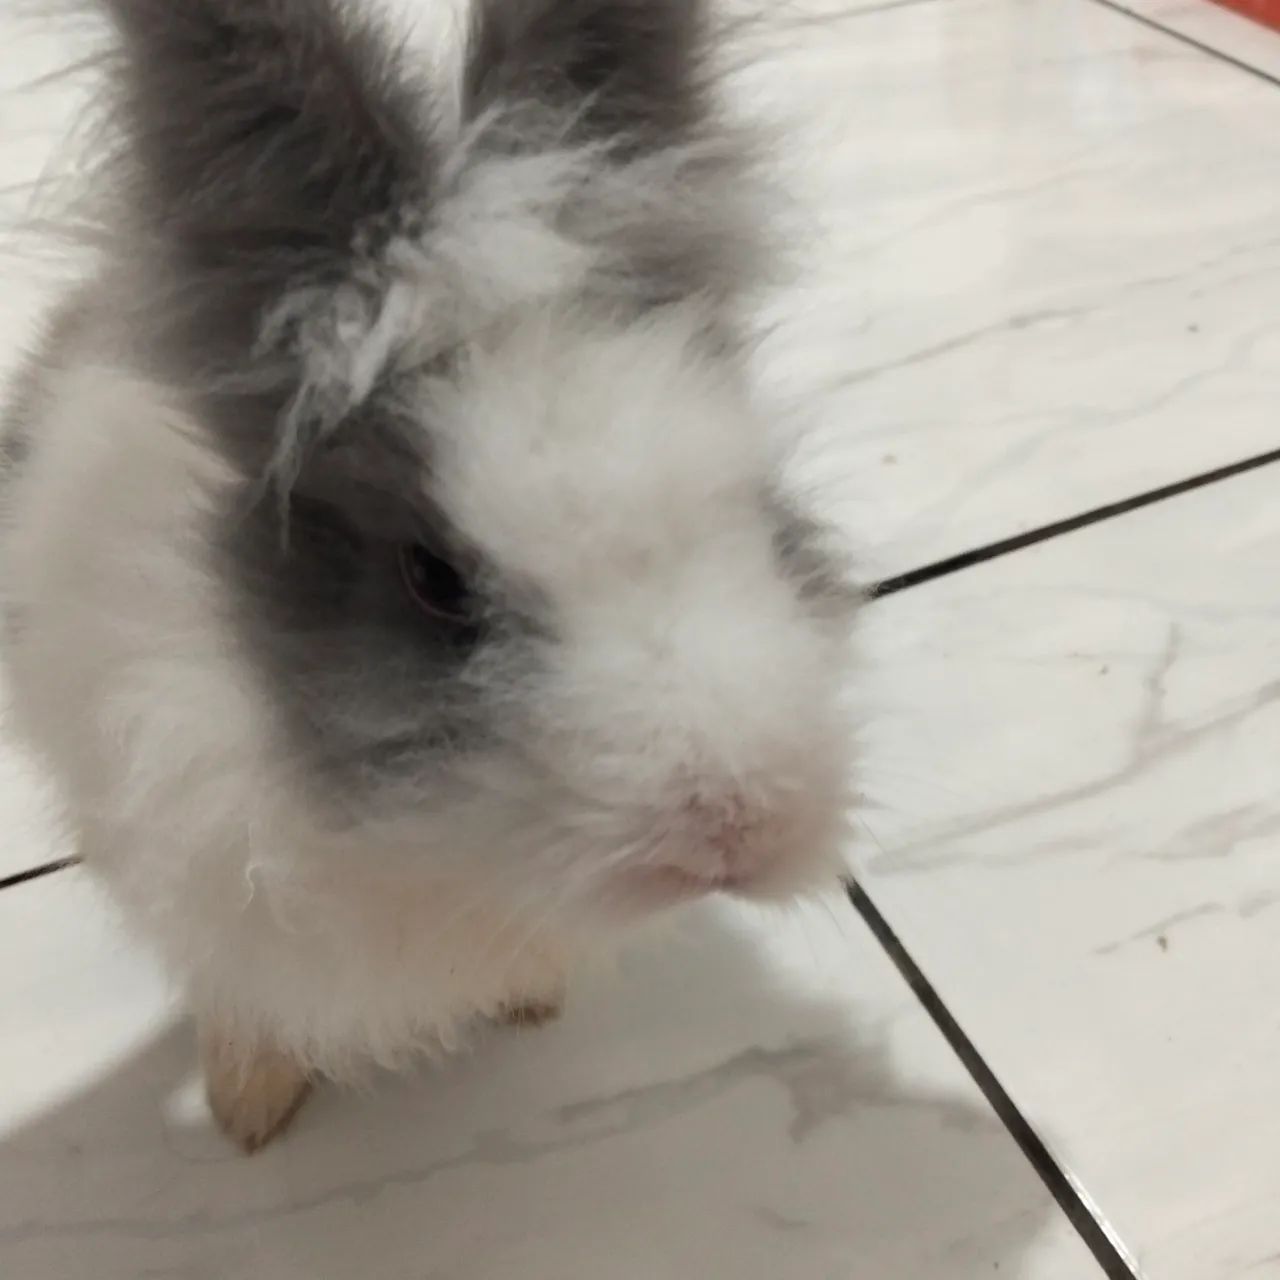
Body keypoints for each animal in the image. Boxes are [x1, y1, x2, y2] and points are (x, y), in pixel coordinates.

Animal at [0, 0, 858, 1153]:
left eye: (758, 498)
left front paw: (532, 998)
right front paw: (245, 1110)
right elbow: (238, 997)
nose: (735, 831)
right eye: (435, 578)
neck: (428, 850)